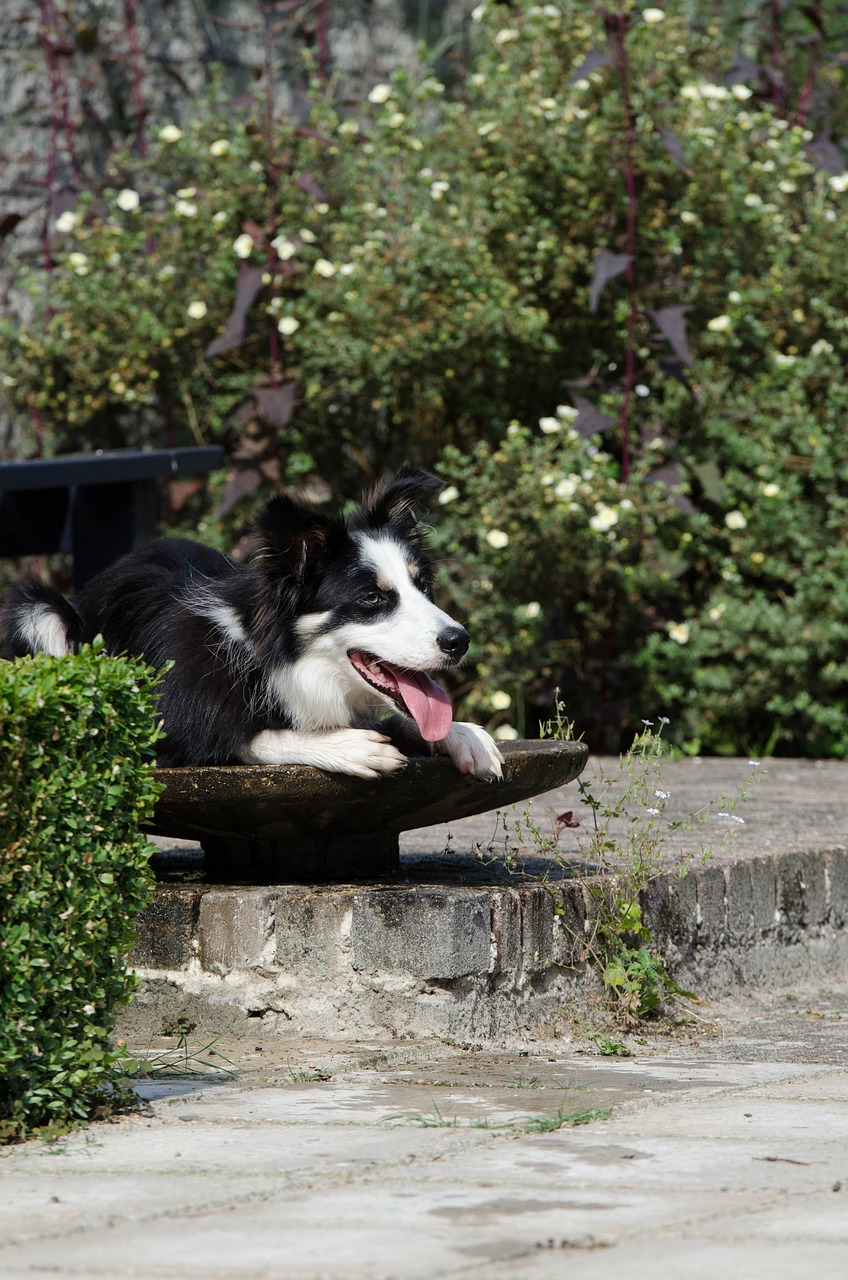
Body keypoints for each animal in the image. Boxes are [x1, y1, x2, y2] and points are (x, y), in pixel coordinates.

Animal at [0, 463, 504, 773]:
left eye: (423, 587)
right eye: (371, 598)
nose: (459, 640)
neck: (273, 660)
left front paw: (465, 735)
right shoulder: (158, 725)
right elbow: (247, 736)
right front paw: (347, 745)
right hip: (36, 610)